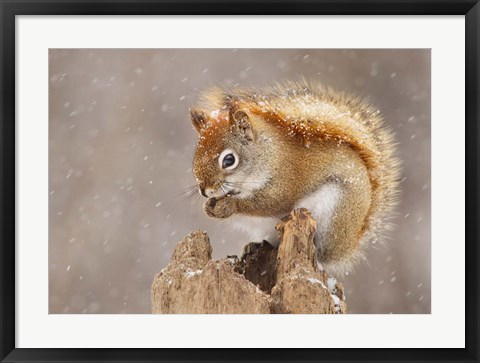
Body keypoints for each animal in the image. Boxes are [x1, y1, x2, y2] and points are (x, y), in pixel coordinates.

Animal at [189, 82, 400, 276]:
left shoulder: (287, 181)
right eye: (195, 155)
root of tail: (349, 246)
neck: (269, 154)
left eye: (229, 160)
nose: (204, 190)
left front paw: (229, 206)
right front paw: (209, 206)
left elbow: (270, 203)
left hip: (333, 215)